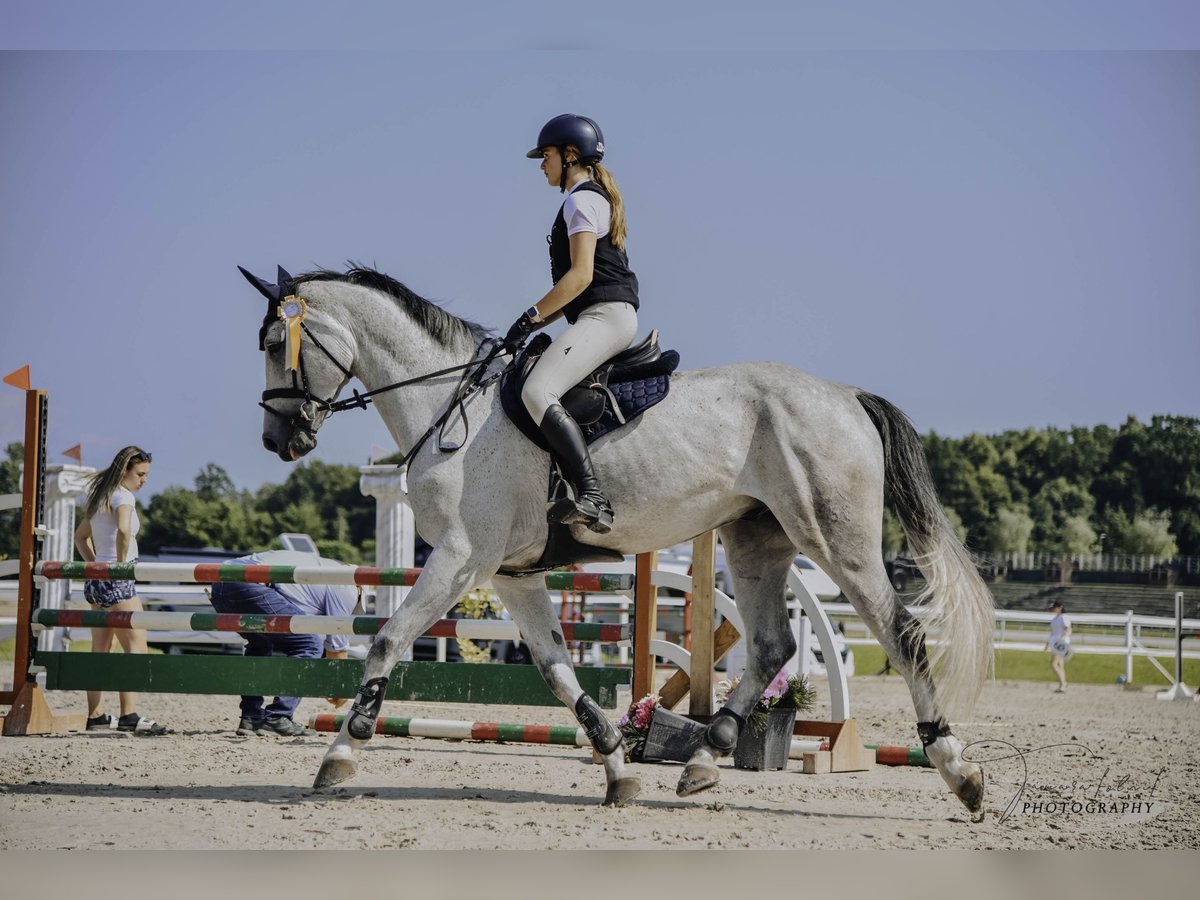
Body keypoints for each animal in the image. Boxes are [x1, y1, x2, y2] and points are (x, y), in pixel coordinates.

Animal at [253, 264, 993, 820]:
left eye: (271, 343)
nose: (278, 439)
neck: (449, 403)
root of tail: (845, 395)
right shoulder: (513, 573)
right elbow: (557, 670)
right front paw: (617, 767)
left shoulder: (463, 558)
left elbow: (388, 639)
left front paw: (340, 755)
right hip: (756, 540)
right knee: (772, 648)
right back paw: (704, 758)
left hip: (835, 538)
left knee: (903, 635)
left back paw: (958, 771)